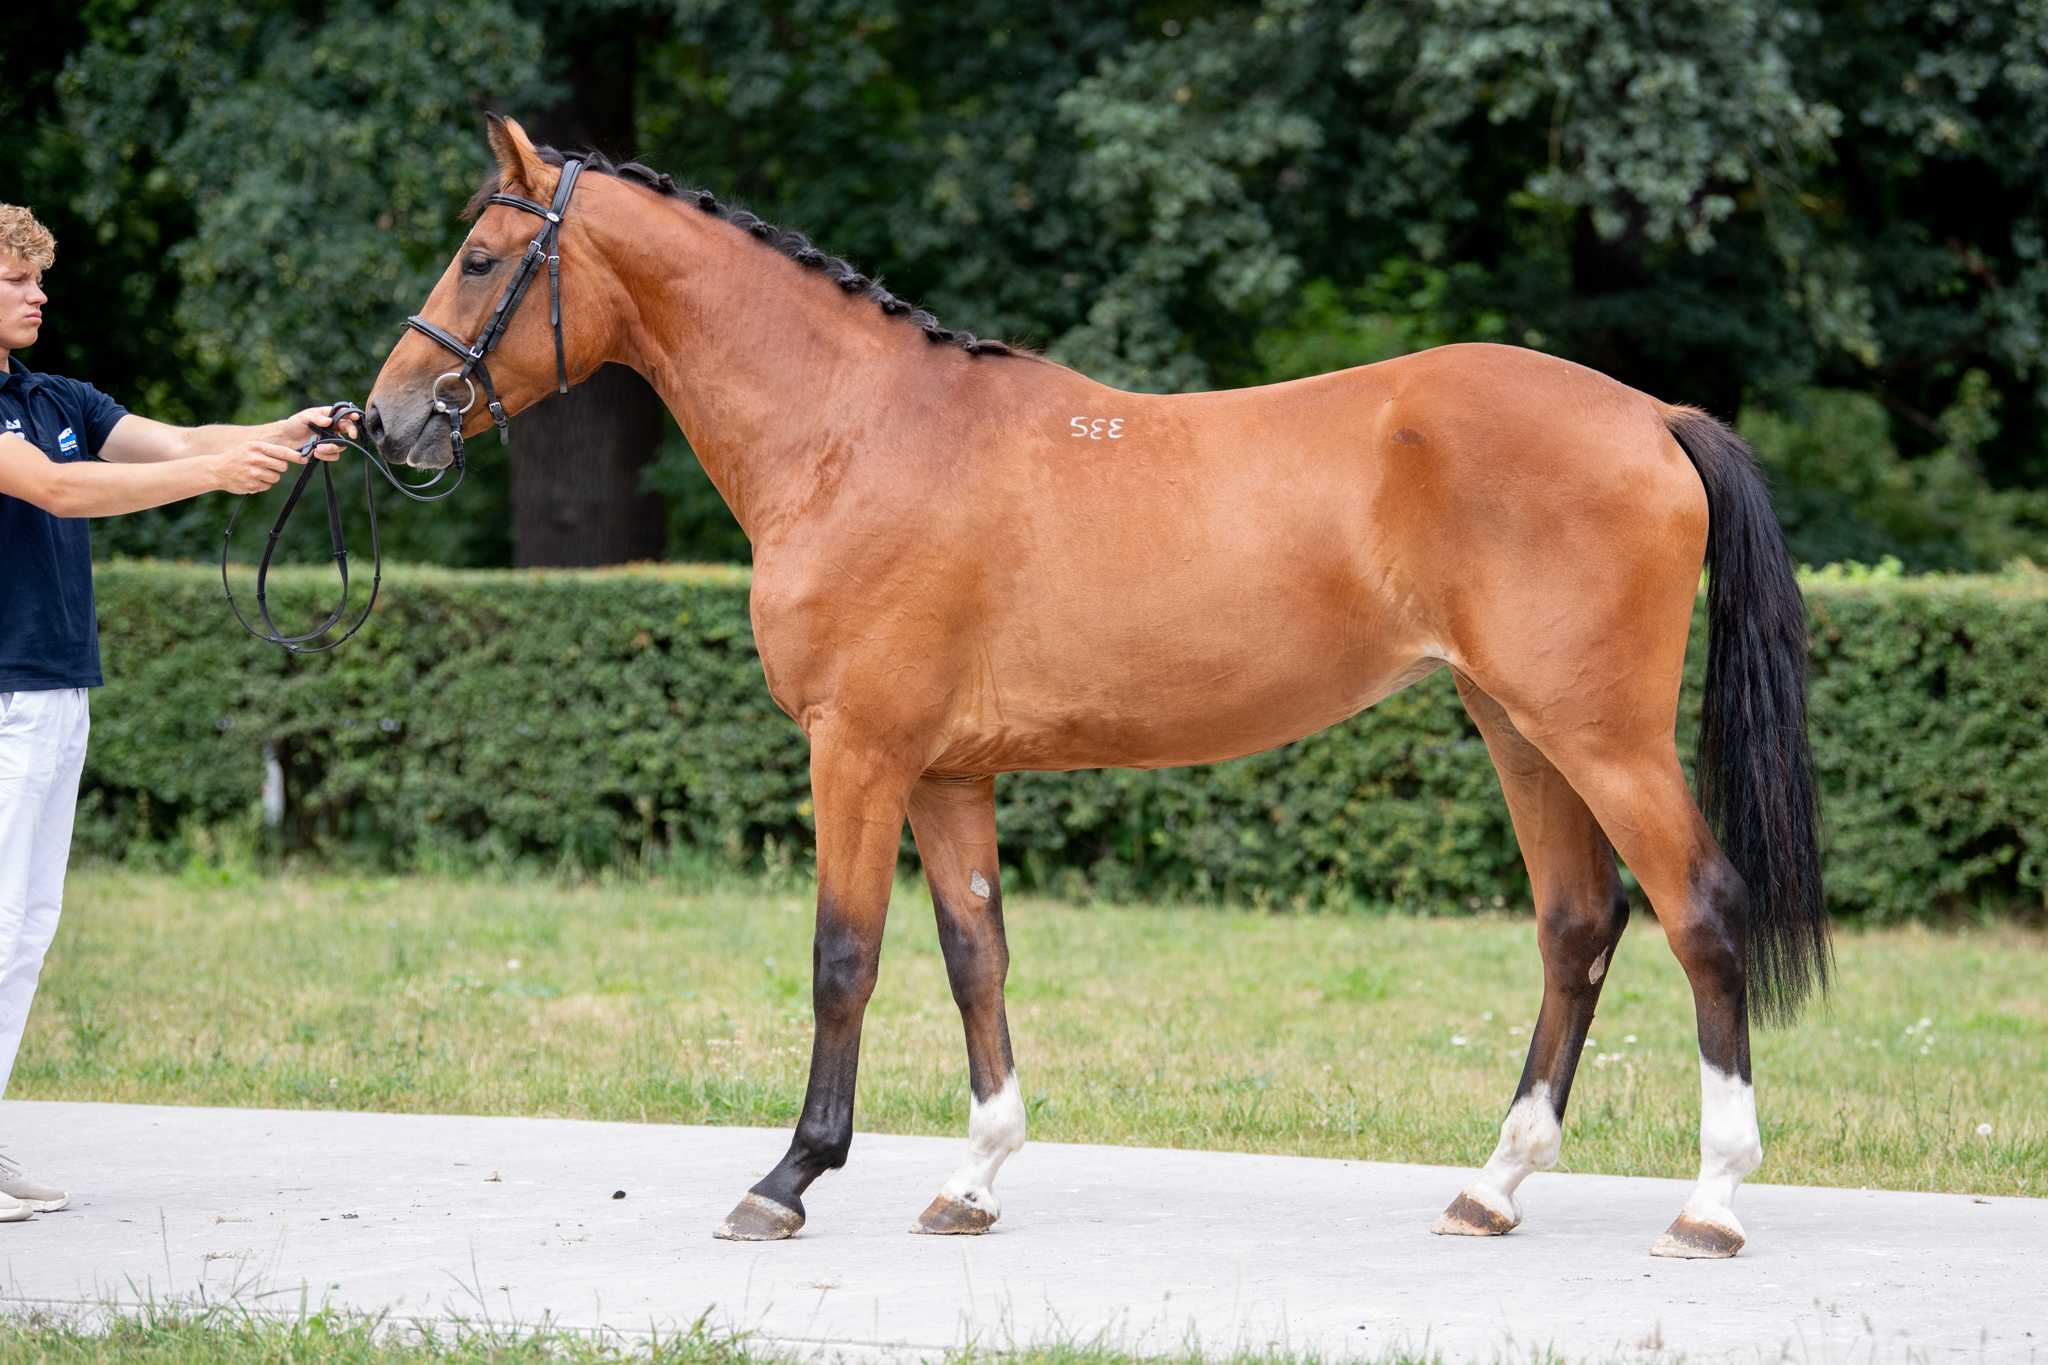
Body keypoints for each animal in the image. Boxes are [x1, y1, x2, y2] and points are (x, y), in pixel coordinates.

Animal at [366, 116, 1828, 1259]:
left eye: (482, 258)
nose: (387, 421)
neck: (855, 434)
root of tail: (1650, 416)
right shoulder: (947, 771)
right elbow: (974, 954)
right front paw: (970, 1179)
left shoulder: (859, 751)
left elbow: (845, 956)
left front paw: (787, 1178)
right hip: (1517, 729)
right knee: (1577, 925)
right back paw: (1493, 1187)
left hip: (1602, 734)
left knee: (1701, 911)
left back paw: (1710, 1203)